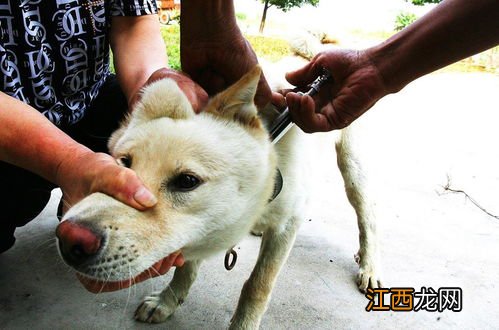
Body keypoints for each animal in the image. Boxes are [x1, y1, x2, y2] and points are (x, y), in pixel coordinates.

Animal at [55, 65, 382, 328]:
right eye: (124, 162)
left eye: (188, 181)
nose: (69, 238)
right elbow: (185, 269)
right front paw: (168, 300)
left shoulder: (288, 224)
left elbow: (258, 285)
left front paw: (243, 325)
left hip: (354, 171)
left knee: (368, 220)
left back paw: (369, 266)